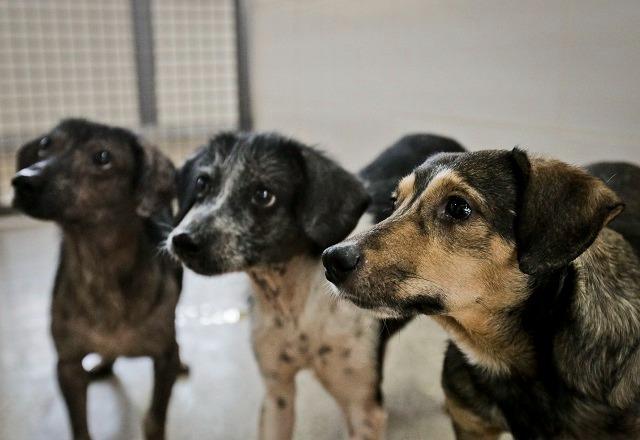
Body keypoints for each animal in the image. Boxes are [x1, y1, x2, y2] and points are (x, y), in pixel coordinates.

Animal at [11, 118, 185, 438]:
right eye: (45, 144)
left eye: (102, 157)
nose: (23, 181)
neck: (99, 268)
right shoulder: (67, 365)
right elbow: (79, 425)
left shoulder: (165, 357)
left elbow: (155, 419)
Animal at [168, 132, 462, 438]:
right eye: (202, 183)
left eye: (263, 195)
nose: (182, 240)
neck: (293, 302)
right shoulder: (277, 393)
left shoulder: (363, 410)